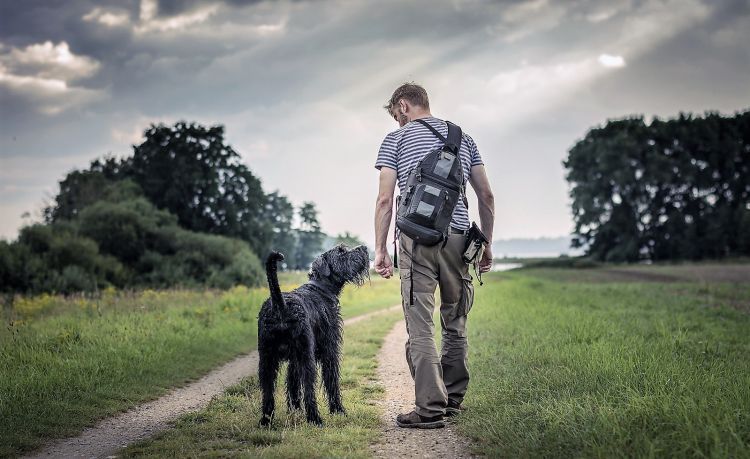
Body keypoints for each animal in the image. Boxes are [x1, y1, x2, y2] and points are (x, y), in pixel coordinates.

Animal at [258, 244, 370, 428]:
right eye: (341, 252)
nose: (364, 248)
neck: (321, 288)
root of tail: (280, 305)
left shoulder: (294, 359)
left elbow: (293, 383)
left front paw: (294, 411)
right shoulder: (329, 350)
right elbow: (332, 381)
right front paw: (338, 410)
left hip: (267, 360)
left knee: (267, 392)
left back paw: (265, 421)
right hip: (306, 360)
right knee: (309, 391)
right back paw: (315, 419)